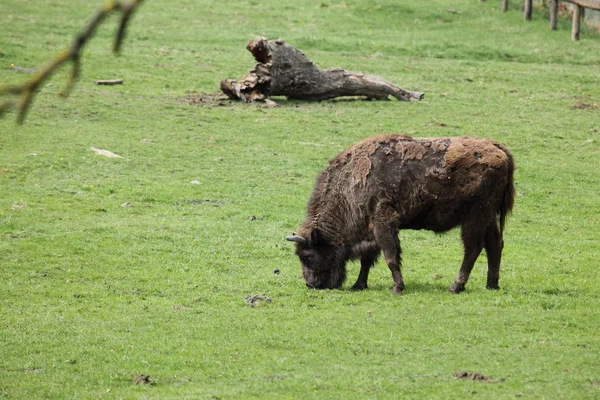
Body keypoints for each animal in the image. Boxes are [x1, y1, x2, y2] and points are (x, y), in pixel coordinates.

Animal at [288, 134, 516, 294]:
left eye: (307, 256)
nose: (311, 284)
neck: (350, 184)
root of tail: (499, 149)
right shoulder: (373, 231)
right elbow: (368, 260)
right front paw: (358, 285)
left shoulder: (383, 223)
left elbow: (390, 257)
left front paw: (397, 288)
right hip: (488, 217)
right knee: (495, 244)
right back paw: (491, 284)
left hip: (475, 216)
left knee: (473, 248)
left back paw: (455, 286)